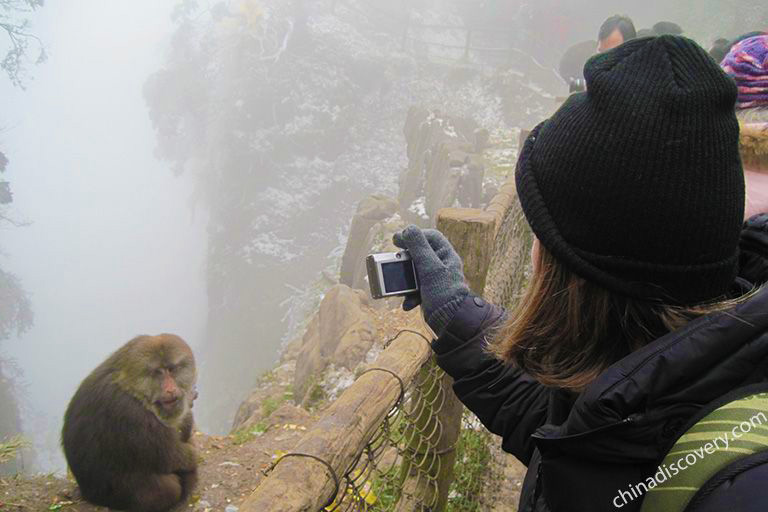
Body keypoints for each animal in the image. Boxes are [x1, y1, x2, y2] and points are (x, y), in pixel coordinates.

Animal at [62, 334, 198, 510]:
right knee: (171, 488)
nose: (170, 389)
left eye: (171, 370)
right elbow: (171, 457)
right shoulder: (132, 414)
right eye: (158, 373)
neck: (133, 389)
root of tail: (88, 494)